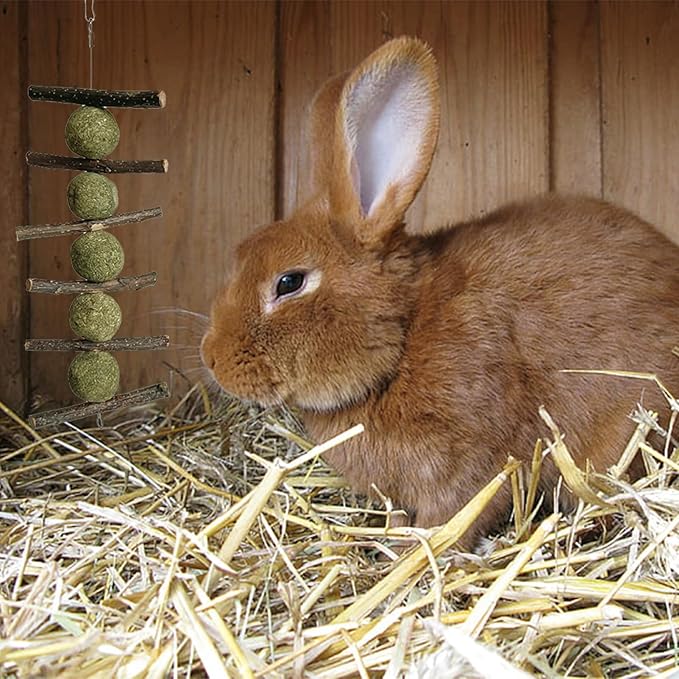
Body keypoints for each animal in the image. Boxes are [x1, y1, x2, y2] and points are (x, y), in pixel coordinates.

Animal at [201, 37, 679, 549]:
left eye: (289, 282)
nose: (212, 358)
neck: (405, 334)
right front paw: (392, 537)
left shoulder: (472, 458)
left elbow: (456, 511)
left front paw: (419, 547)